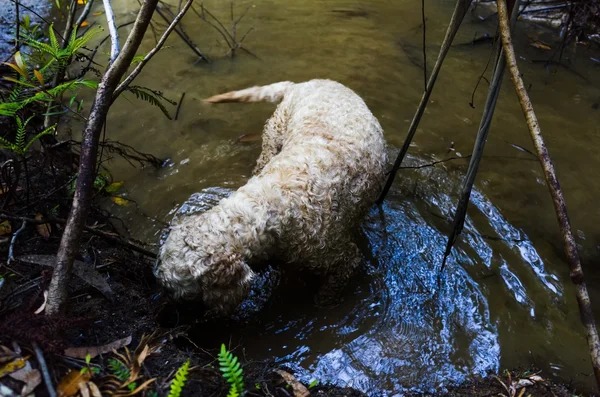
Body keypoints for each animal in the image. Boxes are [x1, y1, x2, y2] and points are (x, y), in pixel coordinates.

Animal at [155, 79, 386, 316]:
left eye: (184, 296)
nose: (165, 309)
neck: (267, 206)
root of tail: (303, 83)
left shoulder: (343, 259)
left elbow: (330, 291)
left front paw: (324, 306)